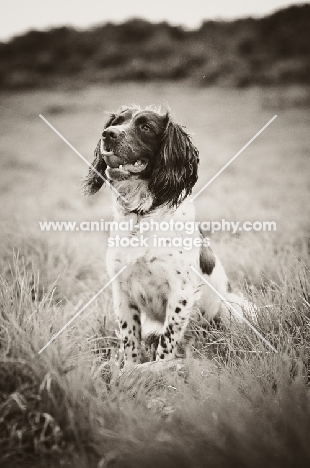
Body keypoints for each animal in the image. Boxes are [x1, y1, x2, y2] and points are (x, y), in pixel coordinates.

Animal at [84, 105, 247, 366]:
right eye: (116, 121)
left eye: (146, 127)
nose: (108, 134)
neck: (141, 217)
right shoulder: (121, 291)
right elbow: (130, 340)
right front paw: (131, 370)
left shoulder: (180, 293)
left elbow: (167, 341)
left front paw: (160, 370)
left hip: (232, 307)